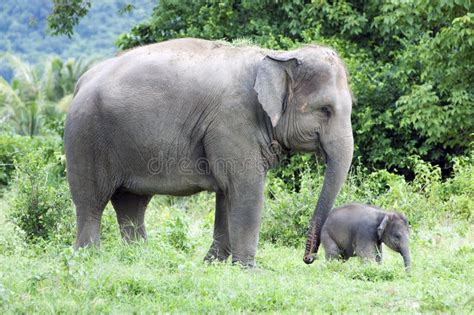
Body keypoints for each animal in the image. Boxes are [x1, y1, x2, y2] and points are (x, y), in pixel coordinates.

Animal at [64, 38, 352, 268]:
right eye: (325, 110)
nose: (308, 259)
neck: (277, 56)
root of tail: (81, 82)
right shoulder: (232, 122)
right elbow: (246, 188)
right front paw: (249, 270)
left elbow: (227, 193)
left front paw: (212, 264)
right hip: (85, 136)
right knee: (91, 202)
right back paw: (89, 257)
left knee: (131, 203)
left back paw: (140, 258)